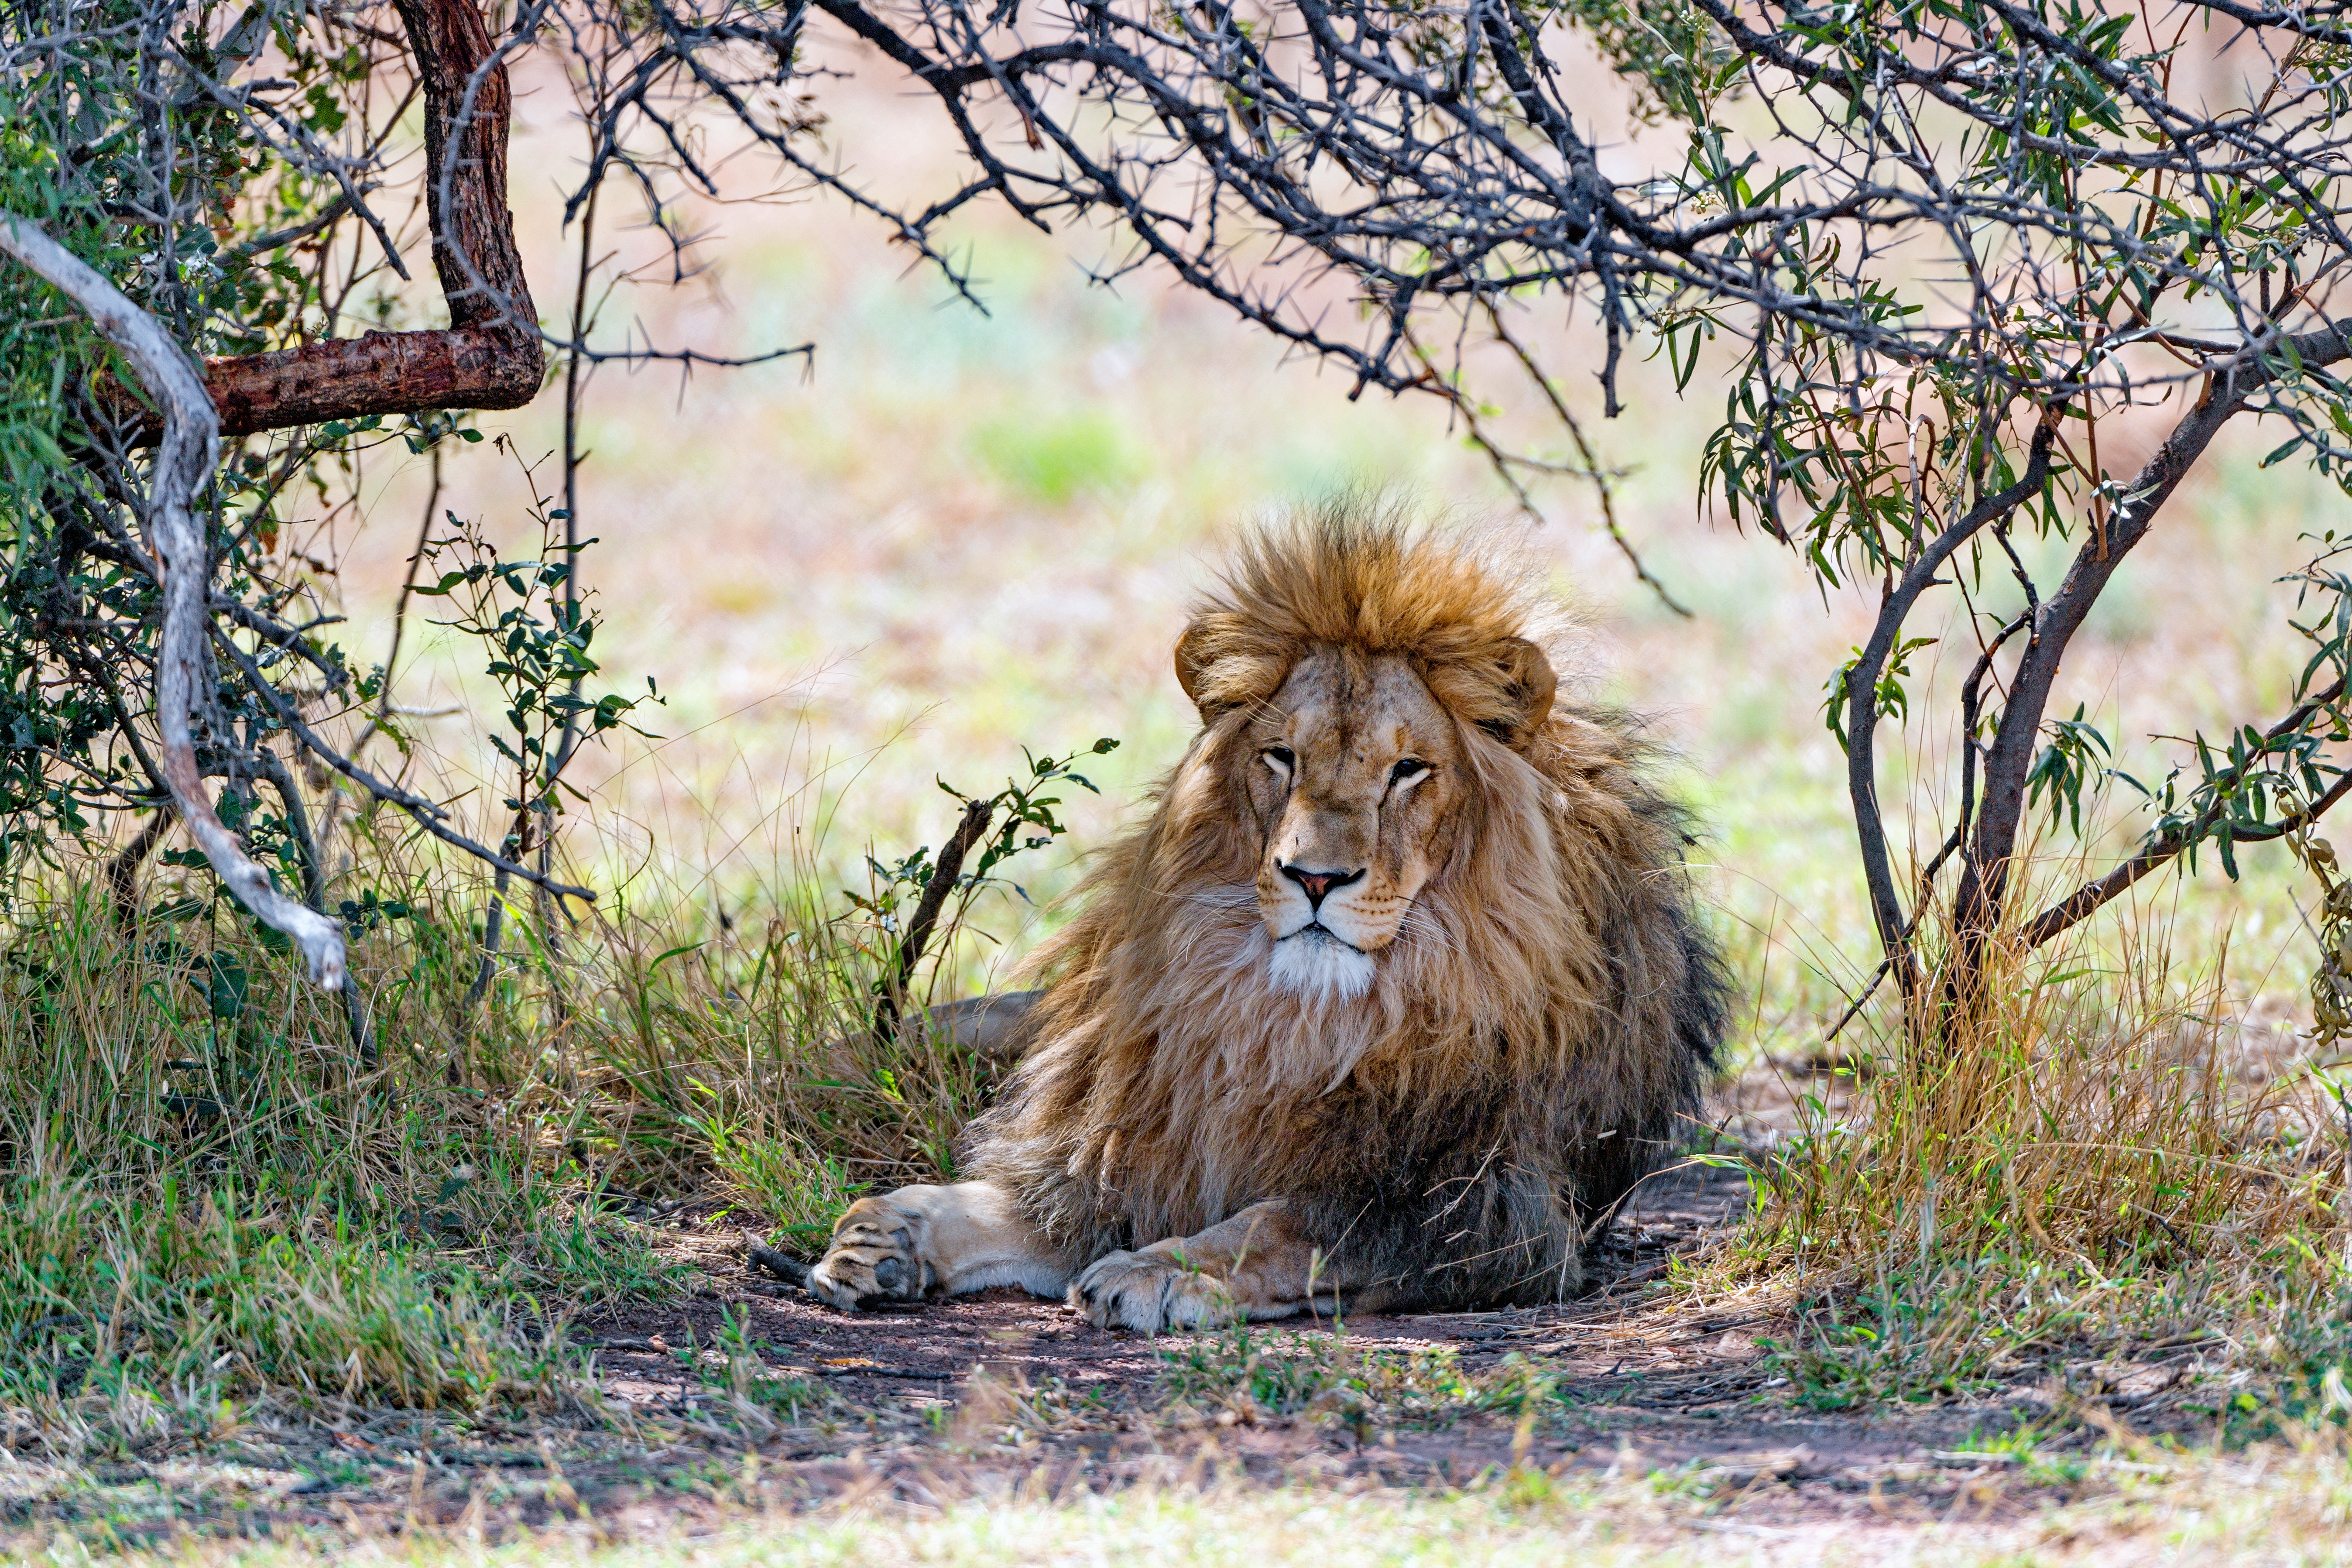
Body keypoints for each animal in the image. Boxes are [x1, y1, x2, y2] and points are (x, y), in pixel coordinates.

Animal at [809, 510, 1731, 1335]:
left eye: (1409, 769)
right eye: (1281, 756)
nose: (1315, 875)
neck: (1291, 1018)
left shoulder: (1478, 1209)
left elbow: (1281, 1224)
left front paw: (1155, 1272)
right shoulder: (1124, 1151)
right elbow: (1013, 1200)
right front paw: (889, 1231)